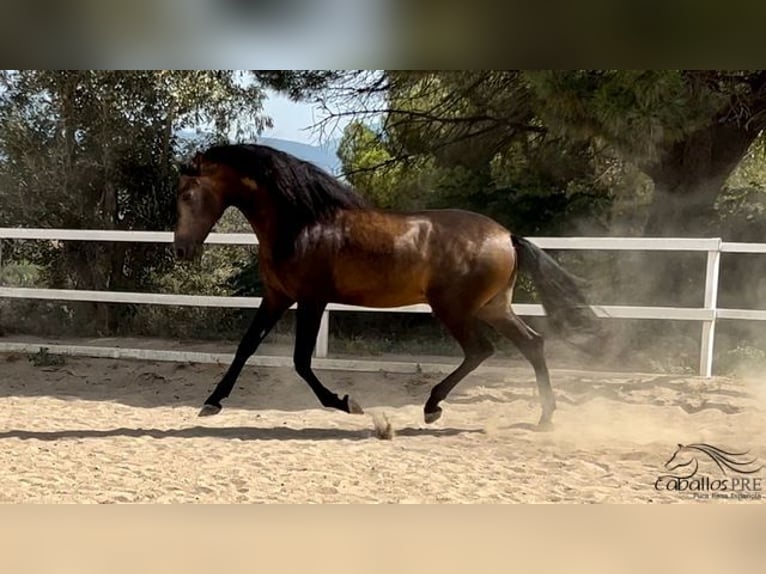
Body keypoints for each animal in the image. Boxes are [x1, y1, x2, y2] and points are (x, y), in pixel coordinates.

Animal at [172, 144, 600, 430]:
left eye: (188, 194)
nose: (181, 248)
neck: (302, 224)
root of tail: (506, 235)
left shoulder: (311, 300)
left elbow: (300, 361)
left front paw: (346, 403)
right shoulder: (277, 297)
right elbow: (245, 347)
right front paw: (211, 403)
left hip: (454, 308)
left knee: (481, 350)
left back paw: (432, 407)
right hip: (493, 307)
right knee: (532, 345)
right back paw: (545, 417)